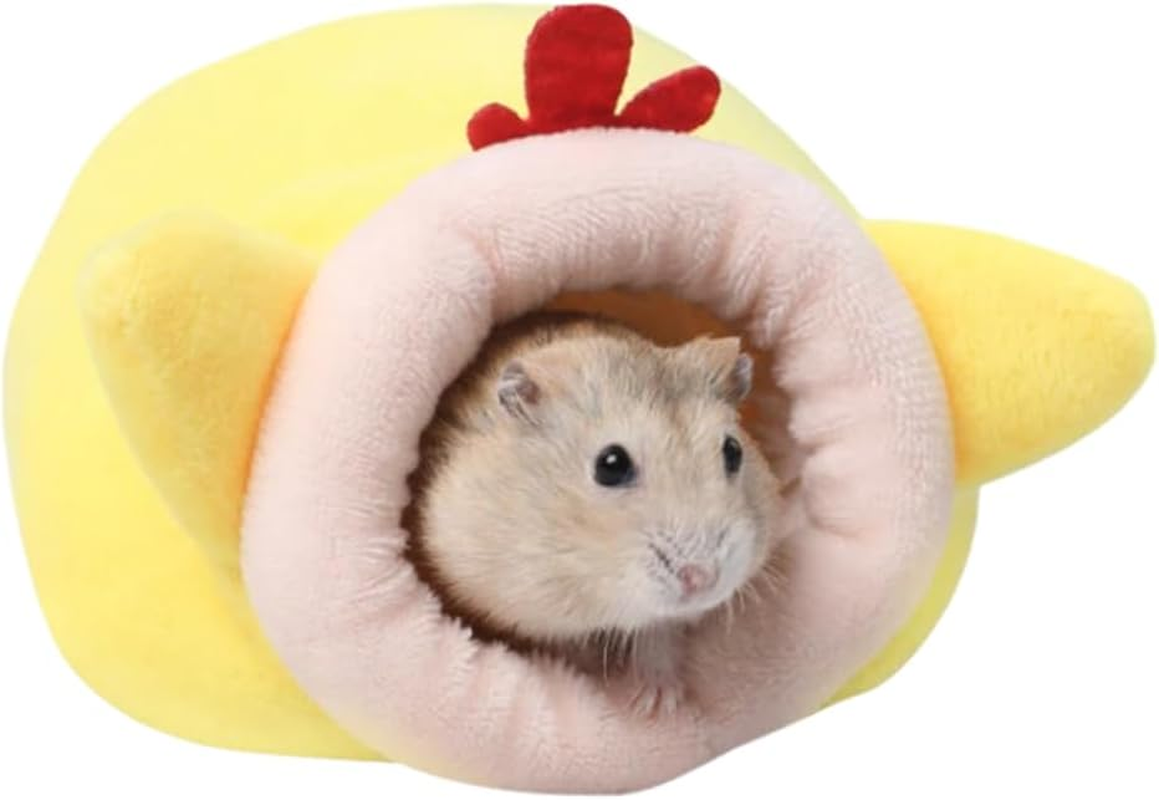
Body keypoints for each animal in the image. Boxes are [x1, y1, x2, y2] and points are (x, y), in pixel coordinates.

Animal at [404, 310, 784, 716]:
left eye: (733, 451)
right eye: (611, 465)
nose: (703, 580)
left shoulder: (659, 617)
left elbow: (658, 634)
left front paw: (656, 706)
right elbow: (568, 642)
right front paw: (602, 681)